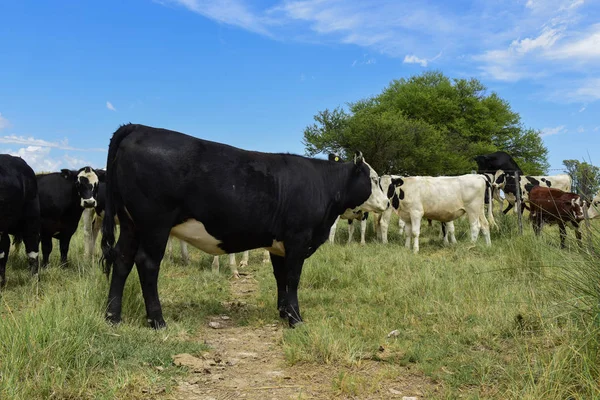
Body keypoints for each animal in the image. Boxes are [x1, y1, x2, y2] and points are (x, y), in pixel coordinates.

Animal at [99, 124, 390, 328]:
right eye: (375, 179)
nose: (388, 202)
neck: (321, 185)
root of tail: (139, 127)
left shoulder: (278, 244)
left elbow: (280, 277)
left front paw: (283, 312)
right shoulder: (298, 239)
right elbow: (293, 279)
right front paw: (296, 319)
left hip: (130, 224)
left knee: (122, 260)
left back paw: (113, 317)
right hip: (154, 226)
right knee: (147, 264)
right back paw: (157, 321)